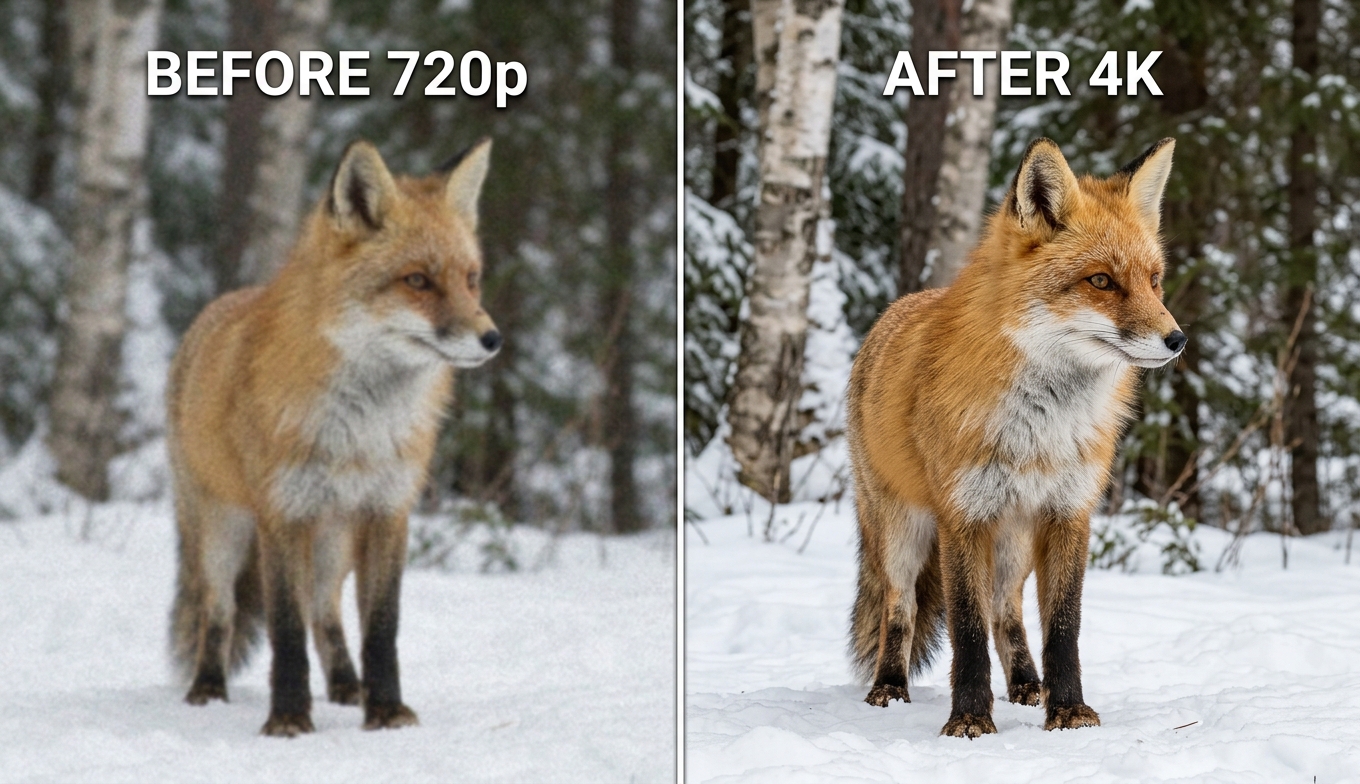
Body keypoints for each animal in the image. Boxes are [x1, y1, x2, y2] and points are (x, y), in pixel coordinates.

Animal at [167, 138, 502, 737]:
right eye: (418, 281)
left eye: (471, 278)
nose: (493, 339)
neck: (359, 434)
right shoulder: (282, 514)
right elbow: (285, 632)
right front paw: (288, 719)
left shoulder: (388, 510)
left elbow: (381, 629)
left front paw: (386, 710)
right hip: (223, 533)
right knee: (218, 612)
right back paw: (208, 688)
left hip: (333, 542)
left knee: (325, 613)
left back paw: (348, 687)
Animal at [846, 138, 1186, 738]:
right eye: (1101, 281)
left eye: (1154, 279)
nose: (1177, 339)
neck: (1040, 433)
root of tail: (891, 311)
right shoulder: (963, 516)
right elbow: (967, 630)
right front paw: (969, 719)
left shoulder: (1069, 512)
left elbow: (1063, 629)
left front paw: (1068, 710)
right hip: (904, 534)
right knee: (899, 609)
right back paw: (889, 687)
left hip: (1014, 544)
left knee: (1006, 610)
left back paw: (1028, 685)